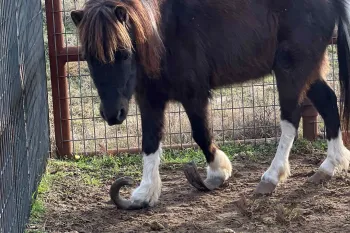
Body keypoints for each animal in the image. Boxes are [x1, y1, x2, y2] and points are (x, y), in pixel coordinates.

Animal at [69, 0, 350, 210]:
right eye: (89, 57)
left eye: (124, 53)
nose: (112, 114)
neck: (163, 28)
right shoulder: (149, 99)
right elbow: (149, 142)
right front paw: (144, 193)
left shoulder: (194, 94)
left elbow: (201, 134)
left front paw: (218, 172)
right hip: (307, 70)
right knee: (328, 102)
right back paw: (330, 166)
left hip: (291, 68)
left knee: (290, 119)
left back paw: (271, 177)